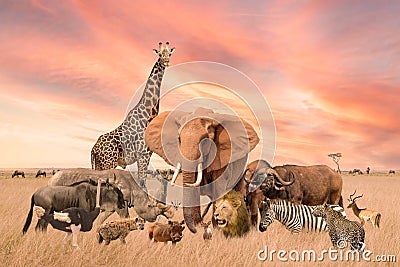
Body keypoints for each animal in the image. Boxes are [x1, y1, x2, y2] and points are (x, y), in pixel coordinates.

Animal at [91, 42, 174, 188]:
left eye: (169, 54)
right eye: (160, 54)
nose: (166, 62)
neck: (147, 114)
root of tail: (94, 149)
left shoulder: (146, 155)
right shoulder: (143, 154)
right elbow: (142, 182)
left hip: (99, 165)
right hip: (107, 164)